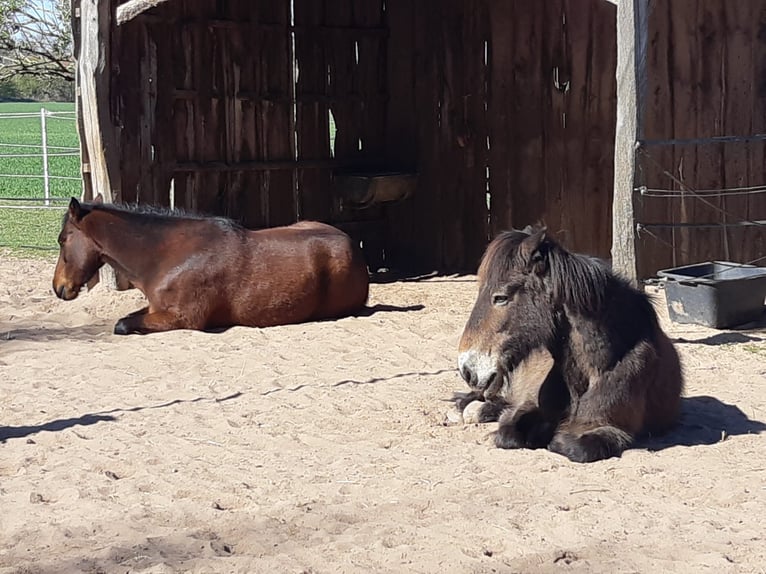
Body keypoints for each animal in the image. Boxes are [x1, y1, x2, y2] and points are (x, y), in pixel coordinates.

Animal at [53, 196, 370, 334]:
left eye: (62, 239)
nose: (58, 288)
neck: (168, 256)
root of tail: (352, 244)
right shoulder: (156, 308)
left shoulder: (180, 319)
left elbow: (123, 324)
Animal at [456, 227, 684, 463]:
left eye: (501, 297)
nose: (466, 368)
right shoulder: (528, 406)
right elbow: (509, 433)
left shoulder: (613, 429)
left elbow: (571, 446)